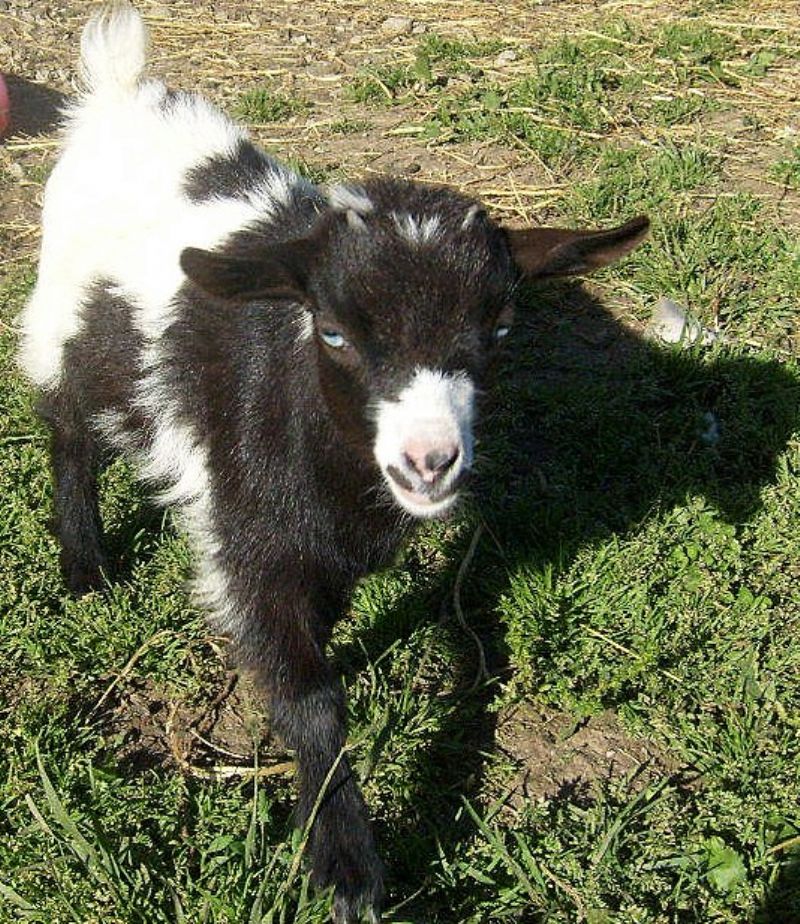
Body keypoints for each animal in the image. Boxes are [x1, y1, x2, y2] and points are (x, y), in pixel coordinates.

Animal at [18, 5, 649, 921]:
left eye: (499, 328)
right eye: (335, 332)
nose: (429, 463)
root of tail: (123, 89)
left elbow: (329, 622)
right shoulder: (247, 541)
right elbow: (309, 696)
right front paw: (347, 865)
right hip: (64, 316)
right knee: (69, 429)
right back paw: (87, 567)